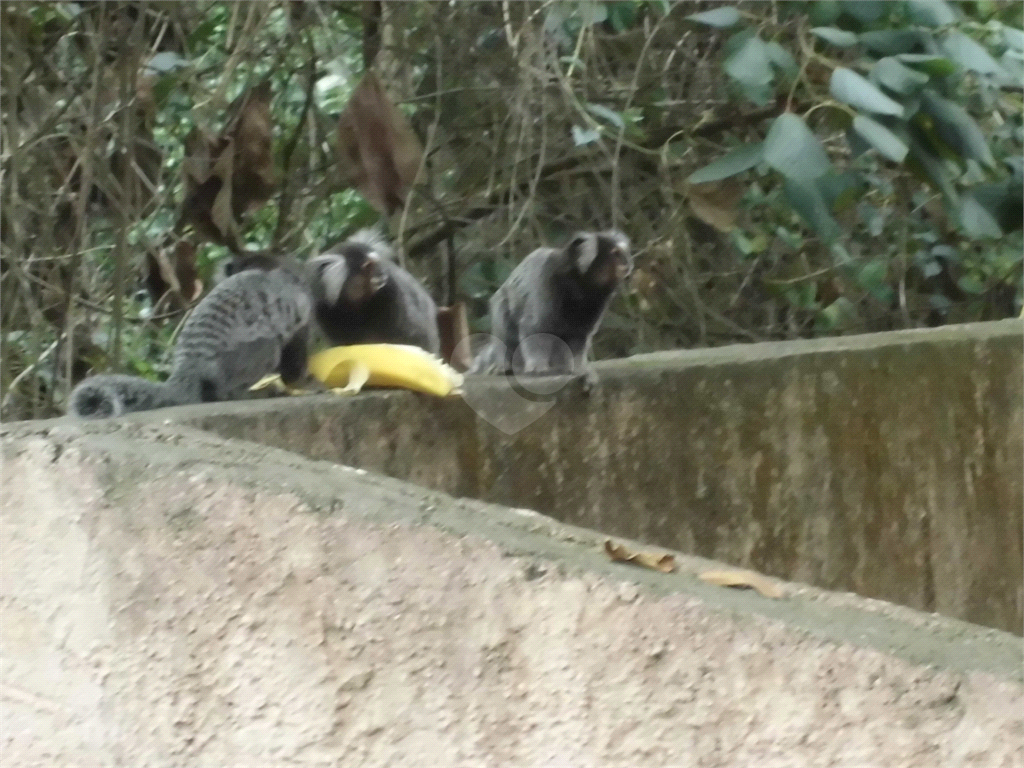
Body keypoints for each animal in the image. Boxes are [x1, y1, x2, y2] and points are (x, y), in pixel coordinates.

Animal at [471, 231, 630, 378]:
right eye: (616, 253)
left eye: (624, 252)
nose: (627, 264)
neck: (579, 284)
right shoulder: (546, 279)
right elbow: (534, 328)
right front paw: (537, 365)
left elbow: (579, 336)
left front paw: (577, 368)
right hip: (500, 303)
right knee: (505, 327)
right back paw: (505, 365)